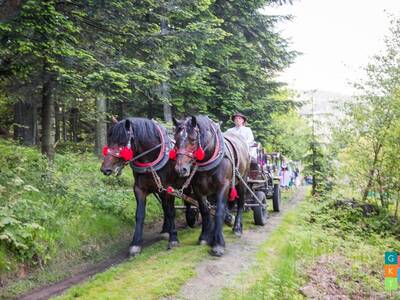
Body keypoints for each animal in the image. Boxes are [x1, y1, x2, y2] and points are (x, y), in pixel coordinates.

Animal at [100, 117, 180, 255]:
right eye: (109, 141)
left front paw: (173, 239)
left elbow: (171, 211)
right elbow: (140, 214)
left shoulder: (168, 188)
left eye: (122, 142)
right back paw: (165, 230)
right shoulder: (140, 189)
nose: (105, 169)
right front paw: (135, 243)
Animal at [172, 115, 250, 255]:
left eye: (193, 139)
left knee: (240, 203)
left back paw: (237, 227)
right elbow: (205, 210)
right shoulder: (198, 189)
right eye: (176, 139)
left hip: (242, 180)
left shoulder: (223, 186)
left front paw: (218, 243)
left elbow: (219, 210)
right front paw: (205, 237)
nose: (181, 169)